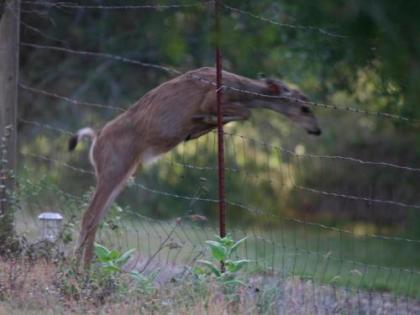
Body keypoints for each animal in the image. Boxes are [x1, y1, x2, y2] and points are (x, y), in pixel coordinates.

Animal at [68, 67, 322, 270]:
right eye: (304, 107)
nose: (317, 130)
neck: (239, 89)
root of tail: (95, 140)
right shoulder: (213, 97)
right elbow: (245, 113)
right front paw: (201, 123)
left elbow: (240, 114)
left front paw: (198, 128)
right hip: (114, 168)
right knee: (89, 216)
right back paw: (77, 270)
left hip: (123, 173)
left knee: (96, 218)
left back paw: (86, 267)